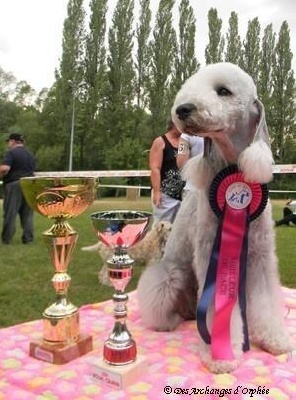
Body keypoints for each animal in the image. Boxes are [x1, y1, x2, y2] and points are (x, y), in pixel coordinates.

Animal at [137, 61, 294, 372]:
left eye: (223, 91)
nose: (183, 109)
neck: (232, 168)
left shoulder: (261, 257)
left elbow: (266, 300)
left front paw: (274, 339)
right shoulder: (211, 253)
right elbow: (218, 309)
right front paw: (220, 355)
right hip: (170, 275)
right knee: (160, 304)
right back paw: (169, 321)